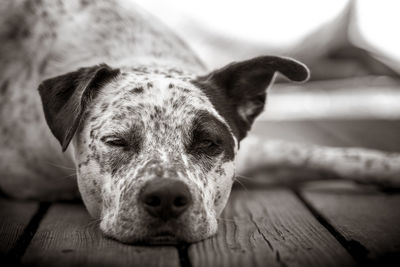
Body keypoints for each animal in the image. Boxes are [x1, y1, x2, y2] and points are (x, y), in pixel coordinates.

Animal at [0, 0, 396, 245]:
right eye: (116, 141)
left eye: (208, 142)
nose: (166, 196)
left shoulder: (253, 153)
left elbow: (342, 156)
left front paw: (391, 168)